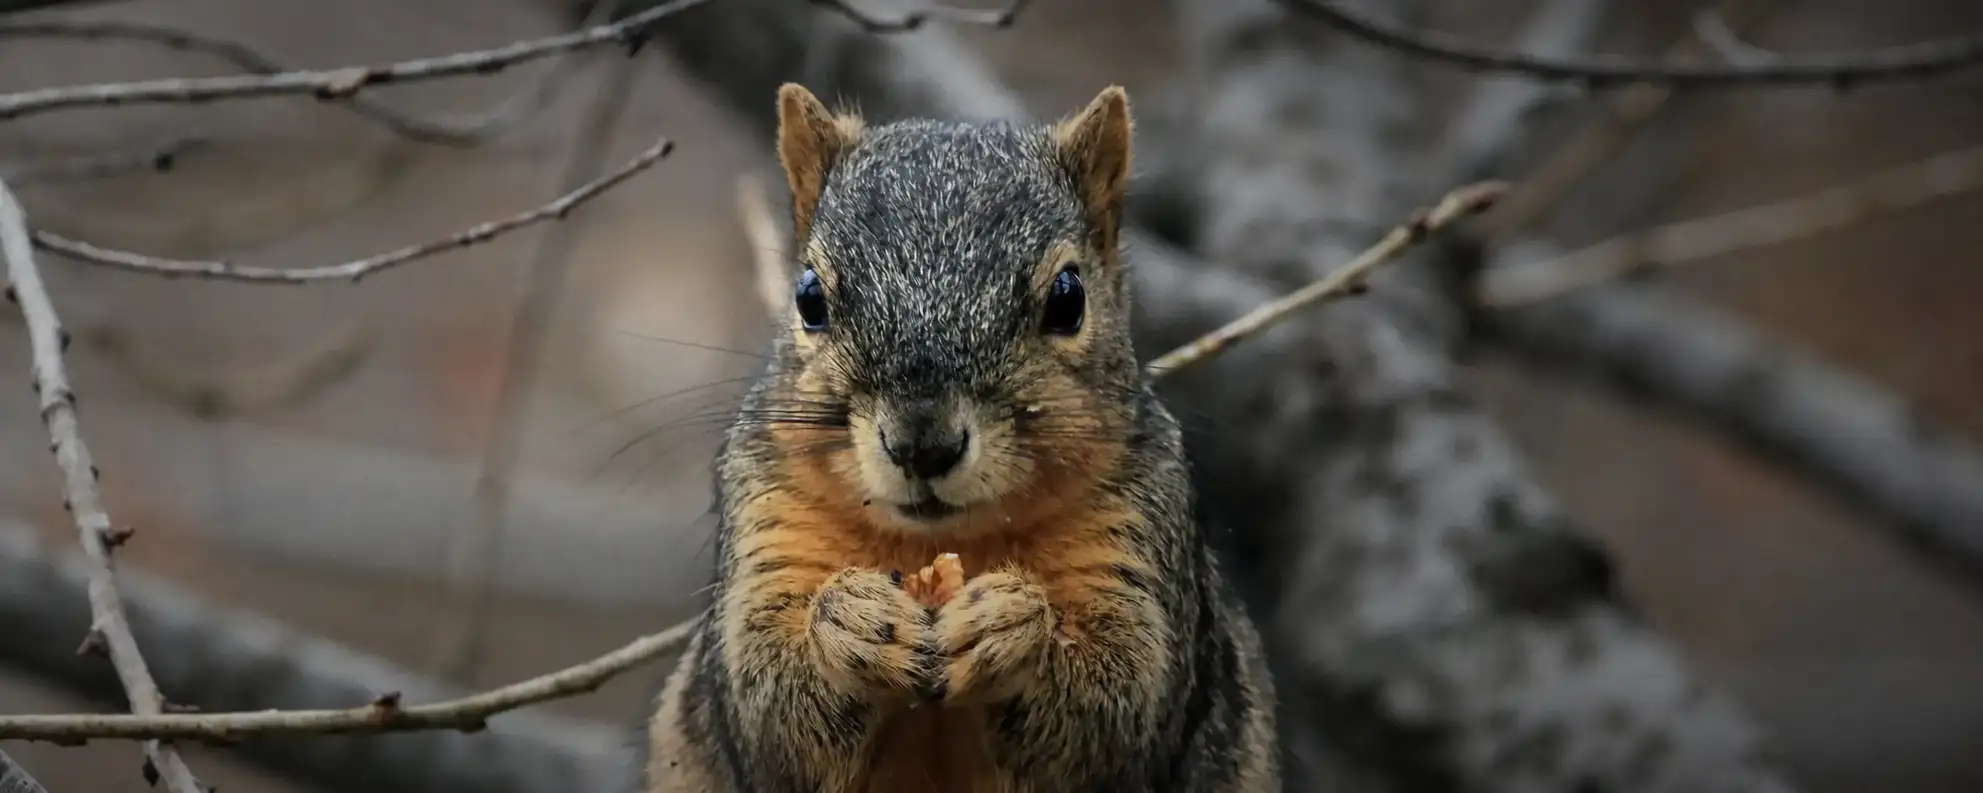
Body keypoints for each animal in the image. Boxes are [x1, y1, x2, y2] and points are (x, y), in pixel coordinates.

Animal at [638, 83, 1280, 793]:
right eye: (808, 297)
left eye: (1069, 298)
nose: (923, 447)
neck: (943, 542)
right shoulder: (766, 514)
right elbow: (766, 709)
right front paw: (850, 621)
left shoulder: (1138, 530)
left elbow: (1122, 705)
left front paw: (1013, 624)